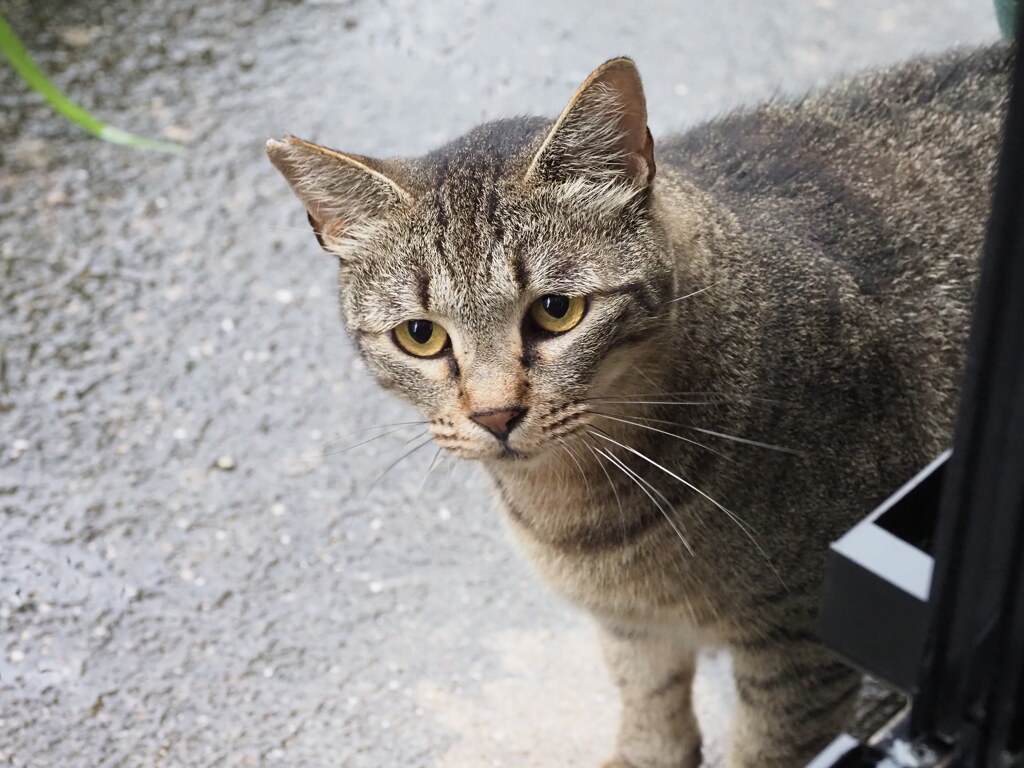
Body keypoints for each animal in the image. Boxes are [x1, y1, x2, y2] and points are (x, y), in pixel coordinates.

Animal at [264, 48, 1007, 768]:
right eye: (421, 335)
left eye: (556, 311)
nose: (495, 415)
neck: (575, 510)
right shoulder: (631, 626)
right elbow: (647, 699)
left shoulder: (798, 638)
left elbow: (766, 749)